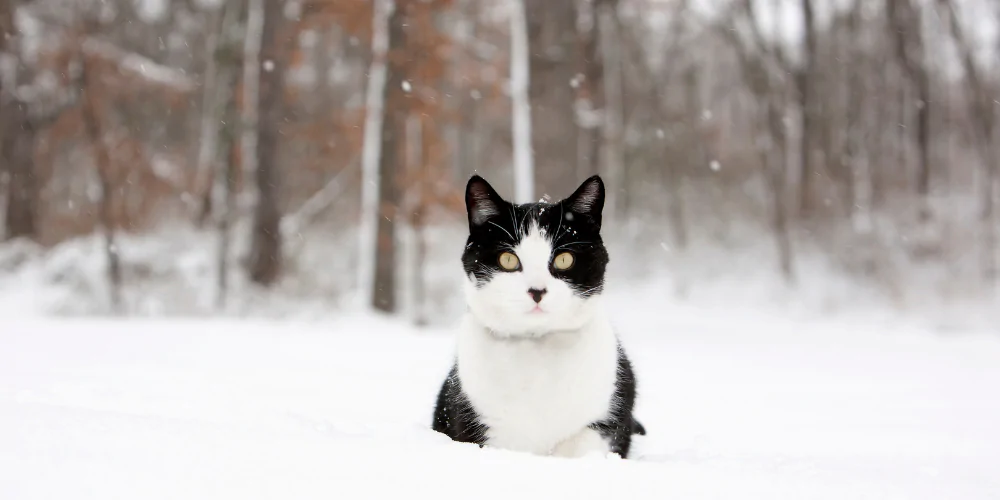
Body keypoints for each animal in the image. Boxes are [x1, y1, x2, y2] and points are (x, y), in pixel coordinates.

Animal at [434, 174, 644, 458]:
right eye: (508, 259)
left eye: (564, 259)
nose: (537, 291)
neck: (536, 349)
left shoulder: (608, 417)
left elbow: (581, 446)